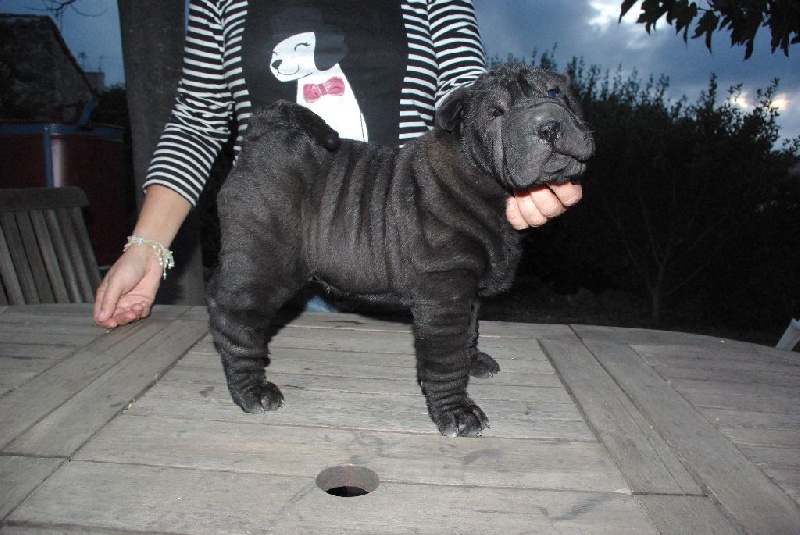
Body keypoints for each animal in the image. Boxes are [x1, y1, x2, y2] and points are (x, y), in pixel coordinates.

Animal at [207, 63, 594, 437]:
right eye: (495, 112)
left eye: (554, 93)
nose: (547, 124)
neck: (483, 179)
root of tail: (260, 137)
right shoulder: (444, 292)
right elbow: (445, 357)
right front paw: (457, 412)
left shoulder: (466, 290)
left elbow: (469, 330)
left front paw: (473, 361)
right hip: (264, 260)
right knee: (236, 320)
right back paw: (253, 391)